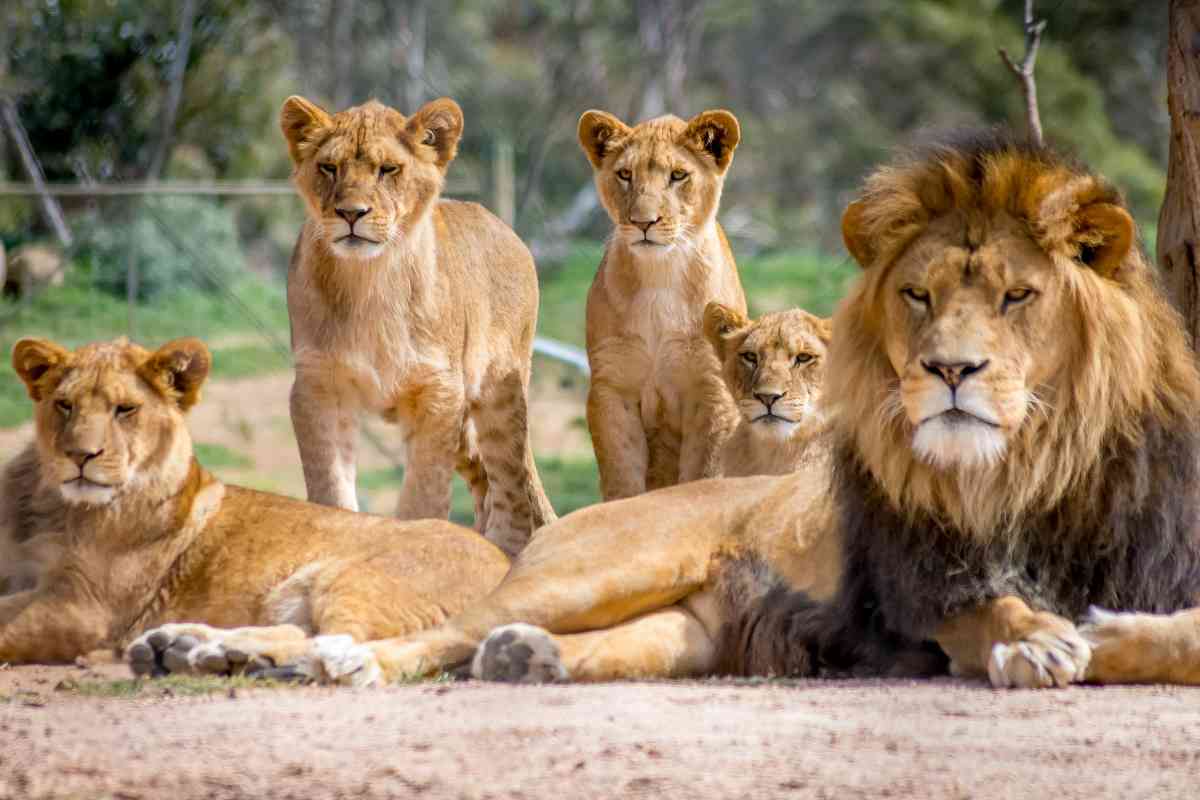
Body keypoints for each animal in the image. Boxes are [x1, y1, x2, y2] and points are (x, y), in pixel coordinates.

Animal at [0, 336, 508, 674]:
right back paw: (189, 647)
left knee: (338, 642)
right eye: (64, 405)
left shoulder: (84, 608)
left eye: (125, 409)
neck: (56, 508)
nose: (80, 456)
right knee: (305, 633)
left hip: (354, 578)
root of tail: (506, 563)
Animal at [282, 96, 554, 557]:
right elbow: (331, 487)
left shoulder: (439, 392)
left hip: (499, 392)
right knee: (486, 481)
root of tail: (506, 229)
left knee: (511, 486)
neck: (369, 281)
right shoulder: (318, 388)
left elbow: (423, 495)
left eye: (388, 169)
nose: (350, 213)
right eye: (329, 167)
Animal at [579, 109, 747, 500]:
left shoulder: (711, 390)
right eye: (625, 174)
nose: (643, 222)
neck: (660, 274)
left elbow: (703, 474)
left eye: (678, 175)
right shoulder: (613, 387)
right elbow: (622, 477)